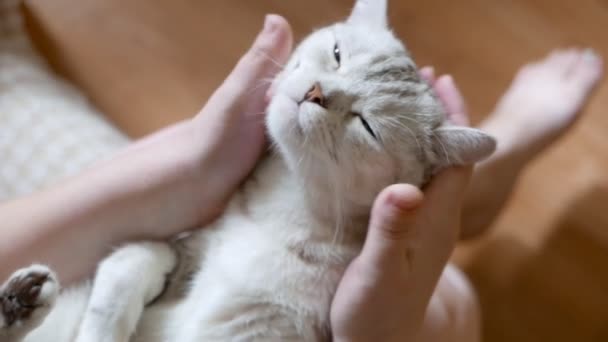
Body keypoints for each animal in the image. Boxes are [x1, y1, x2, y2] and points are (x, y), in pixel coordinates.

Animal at [0, 0, 494, 340]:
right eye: (337, 53)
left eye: (367, 125)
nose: (316, 92)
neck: (283, 205)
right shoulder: (177, 247)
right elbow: (136, 259)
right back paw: (20, 300)